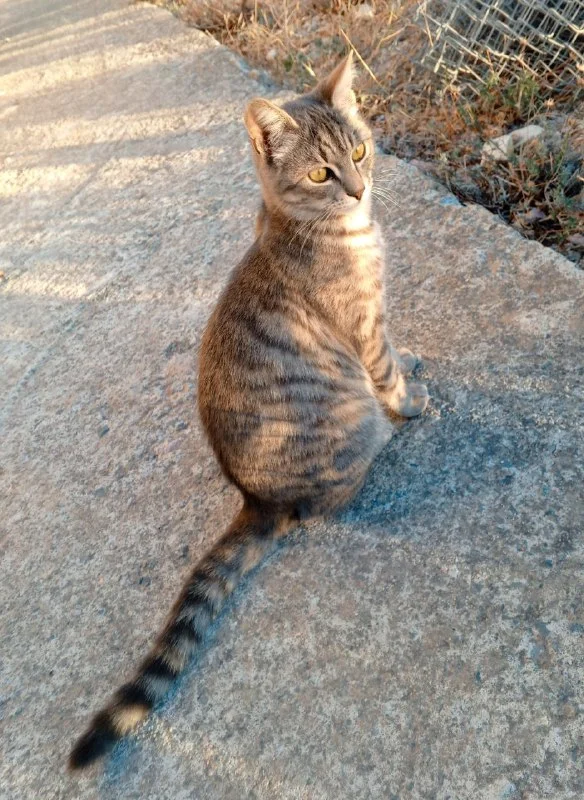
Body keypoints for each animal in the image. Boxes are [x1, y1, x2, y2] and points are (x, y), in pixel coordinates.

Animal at [69, 52, 428, 770]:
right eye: (319, 174)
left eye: (358, 150)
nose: (357, 190)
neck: (333, 231)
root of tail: (255, 497)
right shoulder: (365, 329)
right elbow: (388, 374)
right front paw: (411, 403)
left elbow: (399, 354)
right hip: (342, 431)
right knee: (328, 498)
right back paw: (382, 445)